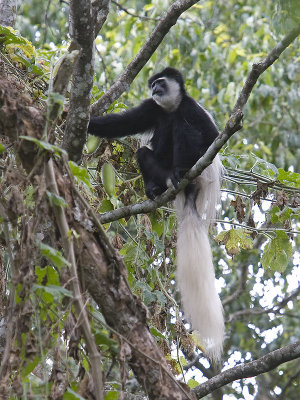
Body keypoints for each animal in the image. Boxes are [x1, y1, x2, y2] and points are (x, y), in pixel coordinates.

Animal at [89, 67, 225, 360]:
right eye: (153, 85)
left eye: (160, 83)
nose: (155, 90)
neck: (170, 107)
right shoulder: (151, 109)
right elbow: (122, 125)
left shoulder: (191, 107)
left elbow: (212, 137)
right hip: (158, 168)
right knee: (145, 152)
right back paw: (156, 188)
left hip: (197, 171)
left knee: (184, 129)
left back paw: (180, 172)